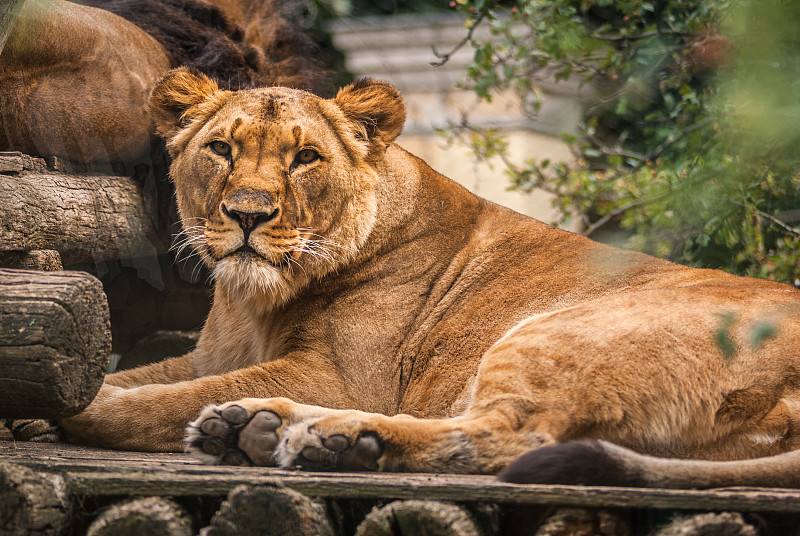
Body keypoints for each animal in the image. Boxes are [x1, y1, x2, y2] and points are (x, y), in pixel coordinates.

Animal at [57, 69, 800, 488]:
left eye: (305, 158)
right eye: (219, 149)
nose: (247, 214)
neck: (252, 301)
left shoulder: (341, 376)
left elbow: (153, 401)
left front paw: (72, 408)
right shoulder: (207, 355)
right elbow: (147, 378)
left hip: (558, 329)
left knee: (508, 435)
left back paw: (319, 437)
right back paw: (269, 430)